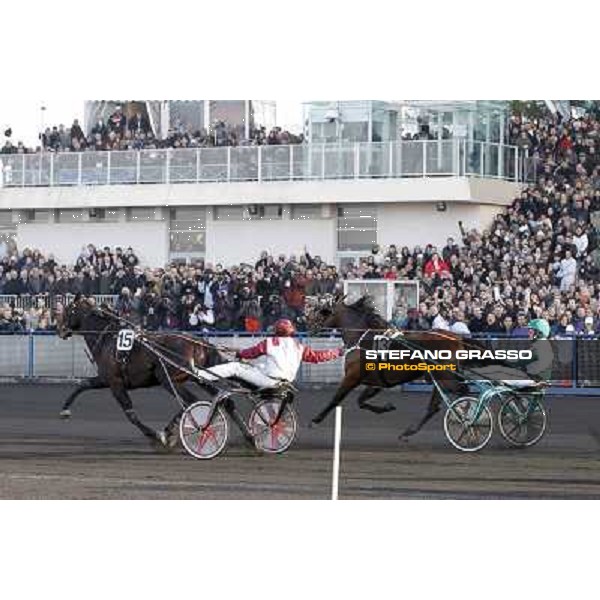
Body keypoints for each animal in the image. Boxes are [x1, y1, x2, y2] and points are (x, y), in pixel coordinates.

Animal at [56, 298, 251, 448]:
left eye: (69, 310)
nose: (60, 329)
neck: (107, 340)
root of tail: (198, 342)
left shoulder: (114, 382)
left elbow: (130, 414)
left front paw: (156, 436)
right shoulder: (104, 380)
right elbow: (82, 385)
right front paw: (65, 410)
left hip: (167, 379)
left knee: (191, 402)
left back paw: (176, 430)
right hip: (200, 378)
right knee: (225, 400)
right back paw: (249, 437)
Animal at [308, 294, 472, 438]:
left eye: (322, 310)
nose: (310, 323)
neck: (362, 340)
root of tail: (456, 338)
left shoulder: (352, 377)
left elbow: (335, 399)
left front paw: (315, 420)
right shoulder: (376, 383)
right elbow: (361, 401)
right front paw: (387, 407)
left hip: (444, 377)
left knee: (464, 391)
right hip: (439, 378)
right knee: (435, 406)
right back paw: (410, 431)